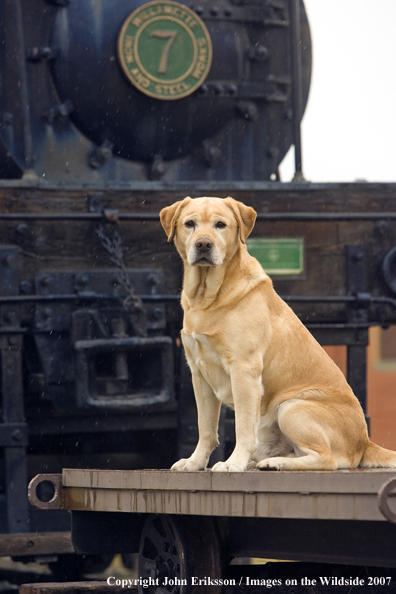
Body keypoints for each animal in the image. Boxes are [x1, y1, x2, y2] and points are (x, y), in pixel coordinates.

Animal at [159, 197, 396, 470]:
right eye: (190, 224)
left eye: (220, 225)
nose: (204, 244)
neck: (208, 295)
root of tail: (364, 442)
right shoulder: (199, 373)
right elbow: (205, 427)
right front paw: (195, 462)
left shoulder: (245, 370)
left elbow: (242, 427)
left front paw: (233, 463)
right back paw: (266, 461)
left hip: (291, 407)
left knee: (327, 459)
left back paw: (274, 463)